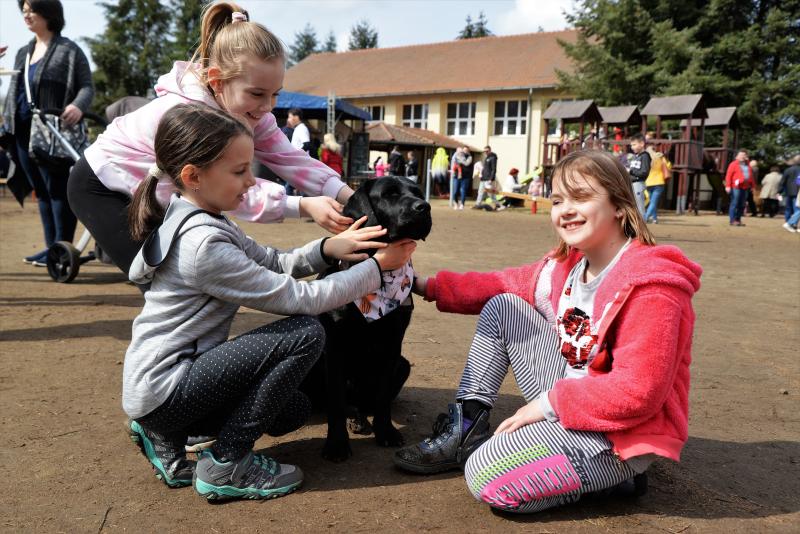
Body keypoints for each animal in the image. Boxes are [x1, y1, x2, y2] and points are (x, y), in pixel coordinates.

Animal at [304, 178, 434, 462]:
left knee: (366, 403)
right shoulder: (335, 347)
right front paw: (337, 444)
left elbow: (383, 397)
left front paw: (386, 432)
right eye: (390, 194)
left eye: (418, 192)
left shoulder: (393, 344)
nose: (424, 207)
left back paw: (362, 419)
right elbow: (336, 401)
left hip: (403, 365)